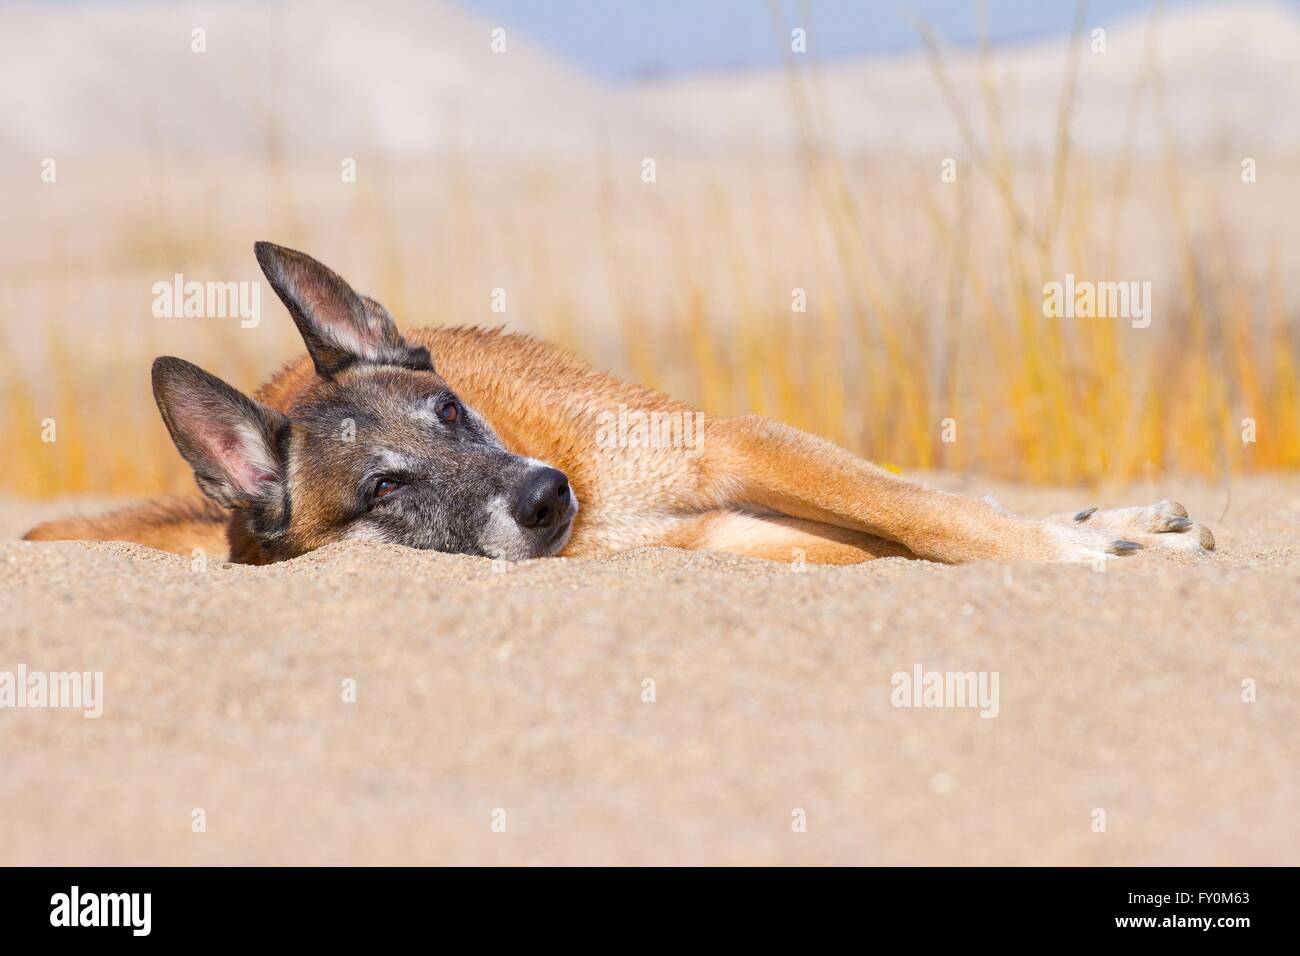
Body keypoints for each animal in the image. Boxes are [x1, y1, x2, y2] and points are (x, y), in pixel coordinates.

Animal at [22, 243, 1216, 564]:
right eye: (384, 489)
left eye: (449, 412)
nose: (545, 498)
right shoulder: (737, 534)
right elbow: (924, 532)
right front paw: (1075, 549)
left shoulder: (737, 447)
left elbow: (934, 511)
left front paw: (1078, 542)